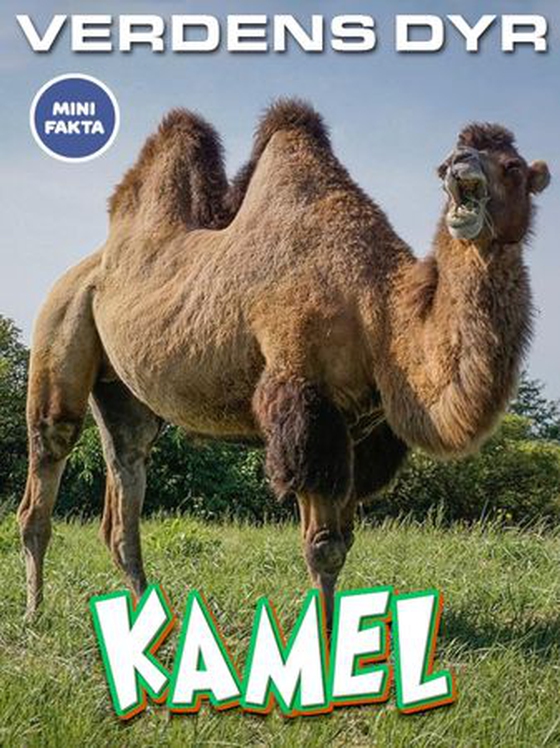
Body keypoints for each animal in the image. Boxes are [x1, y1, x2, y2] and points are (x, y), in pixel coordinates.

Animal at [18, 99, 550, 627]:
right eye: (445, 167)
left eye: (512, 166)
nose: (459, 164)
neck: (379, 307)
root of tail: (85, 268)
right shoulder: (305, 402)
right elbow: (324, 547)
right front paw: (327, 636)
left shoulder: (358, 431)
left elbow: (345, 540)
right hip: (61, 321)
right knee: (48, 458)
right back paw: (35, 609)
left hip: (123, 390)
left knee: (126, 472)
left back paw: (150, 617)